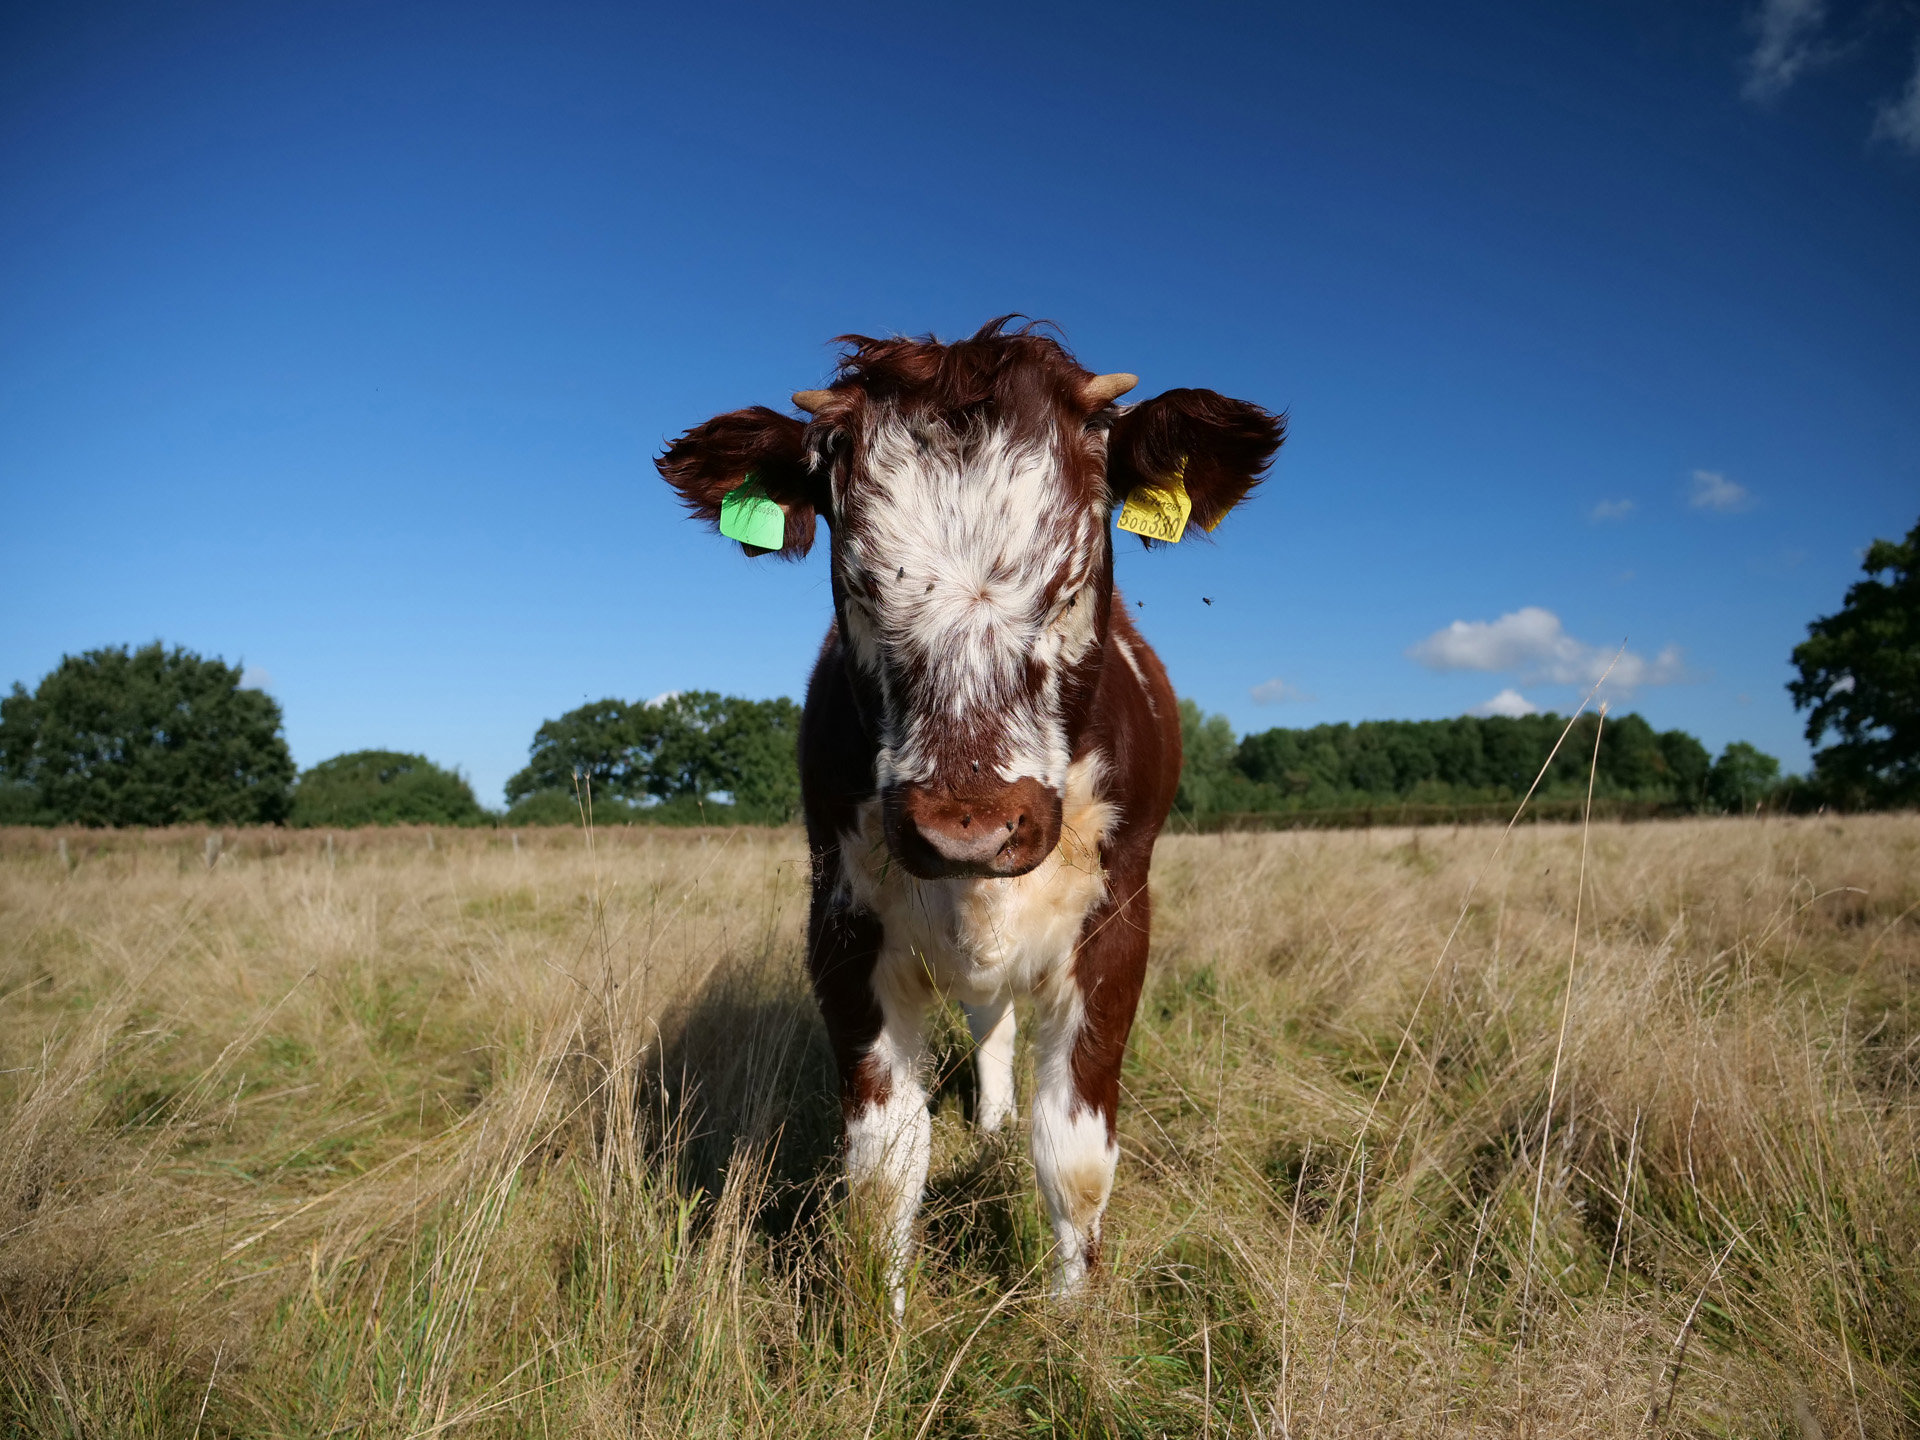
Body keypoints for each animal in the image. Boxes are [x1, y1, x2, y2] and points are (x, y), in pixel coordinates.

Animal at [656, 318, 1284, 1310]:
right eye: (857, 582)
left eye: (1073, 575)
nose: (969, 827)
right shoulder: (841, 926)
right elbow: (884, 1162)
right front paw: (877, 1325)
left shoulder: (1119, 923)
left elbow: (1074, 1154)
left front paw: (1071, 1318)